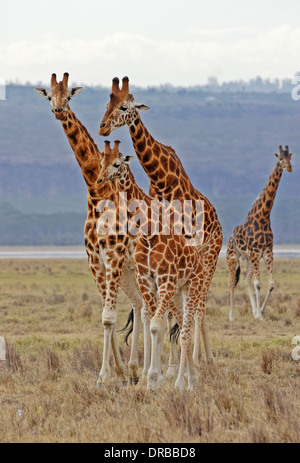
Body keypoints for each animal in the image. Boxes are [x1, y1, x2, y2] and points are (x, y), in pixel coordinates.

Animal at [34, 71, 144, 384]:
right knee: (141, 306)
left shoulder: (114, 256)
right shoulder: (96, 260)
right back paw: (135, 370)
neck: (97, 195)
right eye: (49, 96)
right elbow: (108, 316)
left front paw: (104, 375)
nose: (59, 110)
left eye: (69, 94)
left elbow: (109, 316)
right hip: (131, 271)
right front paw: (117, 372)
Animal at [95, 142, 212, 392]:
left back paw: (185, 381)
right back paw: (189, 377)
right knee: (180, 324)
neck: (149, 234)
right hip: (177, 291)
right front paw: (152, 378)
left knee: (186, 328)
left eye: (117, 163)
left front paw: (153, 378)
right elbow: (153, 325)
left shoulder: (165, 280)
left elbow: (157, 325)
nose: (100, 180)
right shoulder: (148, 281)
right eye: (101, 162)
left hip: (192, 286)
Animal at [98, 76, 223, 366]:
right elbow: (162, 312)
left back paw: (205, 359)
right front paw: (165, 365)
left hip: (209, 255)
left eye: (124, 107)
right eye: (107, 104)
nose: (103, 128)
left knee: (199, 305)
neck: (162, 181)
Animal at [226, 146, 294, 322]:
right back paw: (232, 316)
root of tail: (229, 238)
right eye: (280, 159)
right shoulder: (256, 252)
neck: (263, 217)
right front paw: (260, 315)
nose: (289, 168)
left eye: (290, 158)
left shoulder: (267, 252)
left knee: (245, 280)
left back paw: (254, 311)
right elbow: (258, 284)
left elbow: (271, 284)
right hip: (232, 257)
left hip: (250, 260)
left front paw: (260, 312)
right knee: (232, 282)